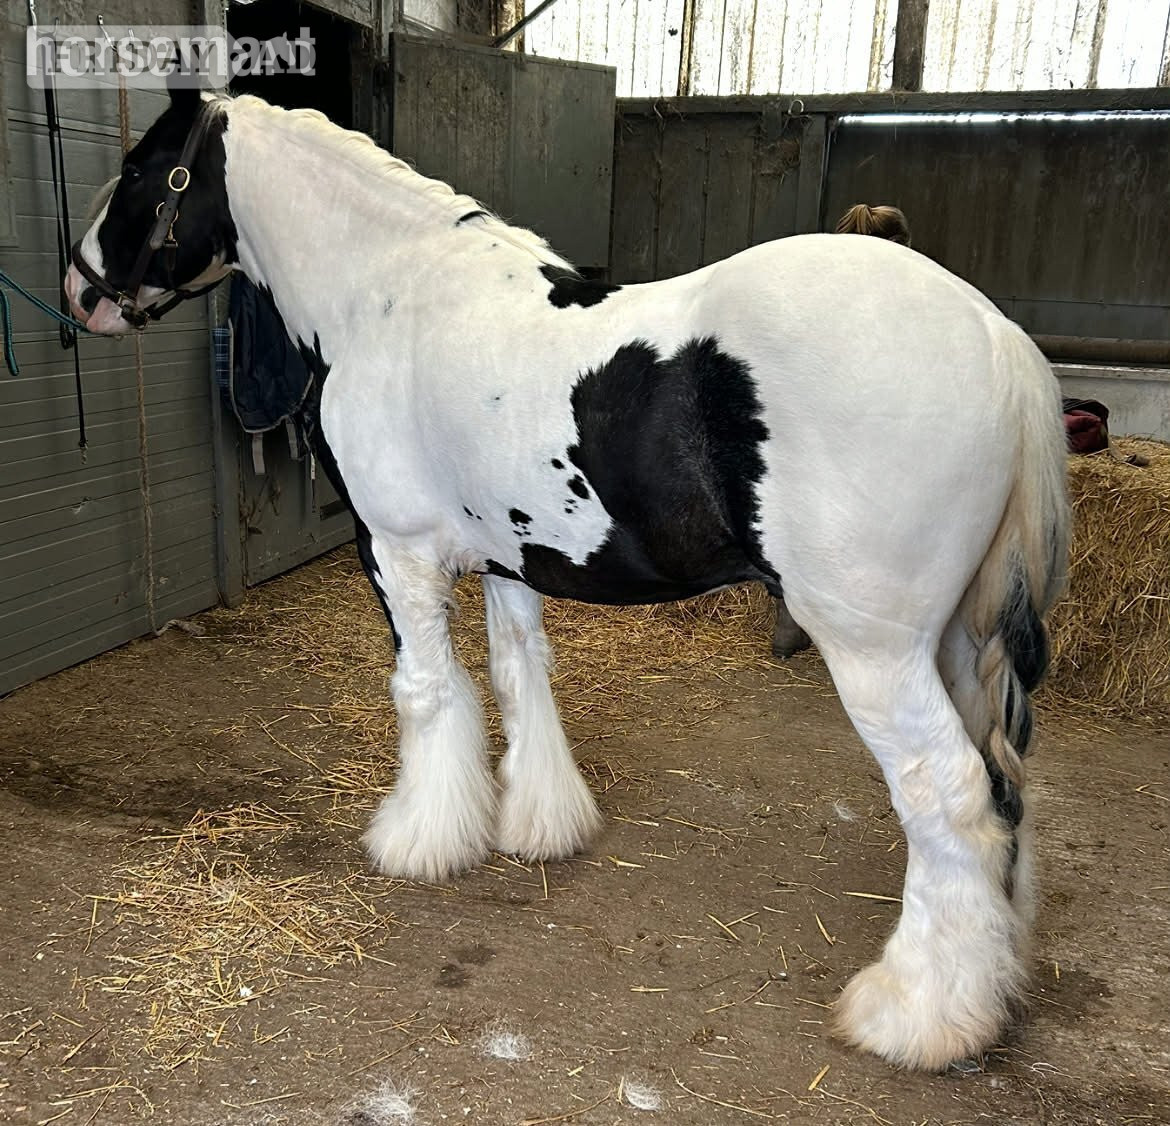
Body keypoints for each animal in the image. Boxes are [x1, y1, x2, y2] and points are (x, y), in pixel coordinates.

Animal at [65, 87, 1069, 1072]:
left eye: (140, 170)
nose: (81, 292)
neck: (387, 292)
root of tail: (995, 337)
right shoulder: (508, 558)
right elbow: (520, 677)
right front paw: (540, 825)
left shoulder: (393, 550)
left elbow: (428, 691)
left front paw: (420, 840)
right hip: (956, 643)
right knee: (1004, 789)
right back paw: (991, 980)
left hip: (875, 651)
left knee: (949, 794)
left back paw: (917, 1016)